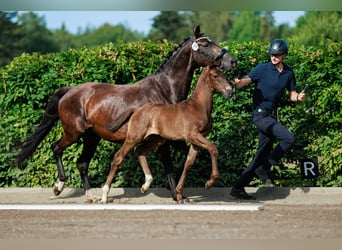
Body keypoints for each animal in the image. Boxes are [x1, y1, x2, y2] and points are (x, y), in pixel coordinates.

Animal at [100, 64, 234, 203]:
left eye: (224, 75)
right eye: (216, 76)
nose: (230, 92)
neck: (198, 107)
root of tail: (136, 110)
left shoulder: (196, 140)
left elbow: (189, 163)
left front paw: (179, 194)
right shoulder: (193, 135)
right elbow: (213, 149)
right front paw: (209, 182)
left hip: (156, 139)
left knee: (140, 152)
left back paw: (145, 185)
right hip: (134, 138)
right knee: (118, 157)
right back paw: (104, 196)